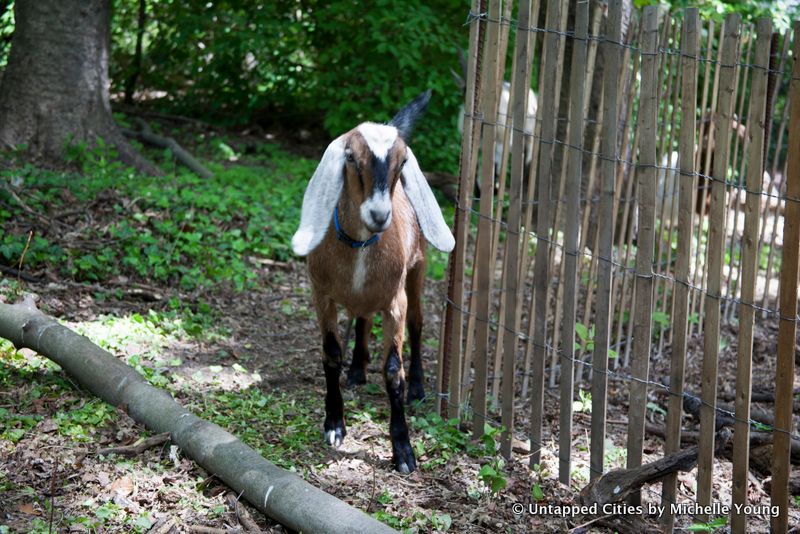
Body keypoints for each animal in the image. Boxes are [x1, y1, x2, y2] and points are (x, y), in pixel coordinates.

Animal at [290, 90, 454, 476]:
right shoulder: (321, 294)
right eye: (350, 156)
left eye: (403, 161)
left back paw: (418, 387)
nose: (379, 215)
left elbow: (393, 370)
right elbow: (331, 353)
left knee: (418, 322)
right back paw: (356, 370)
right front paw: (334, 424)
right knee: (362, 317)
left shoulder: (395, 300)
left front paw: (403, 449)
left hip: (418, 269)